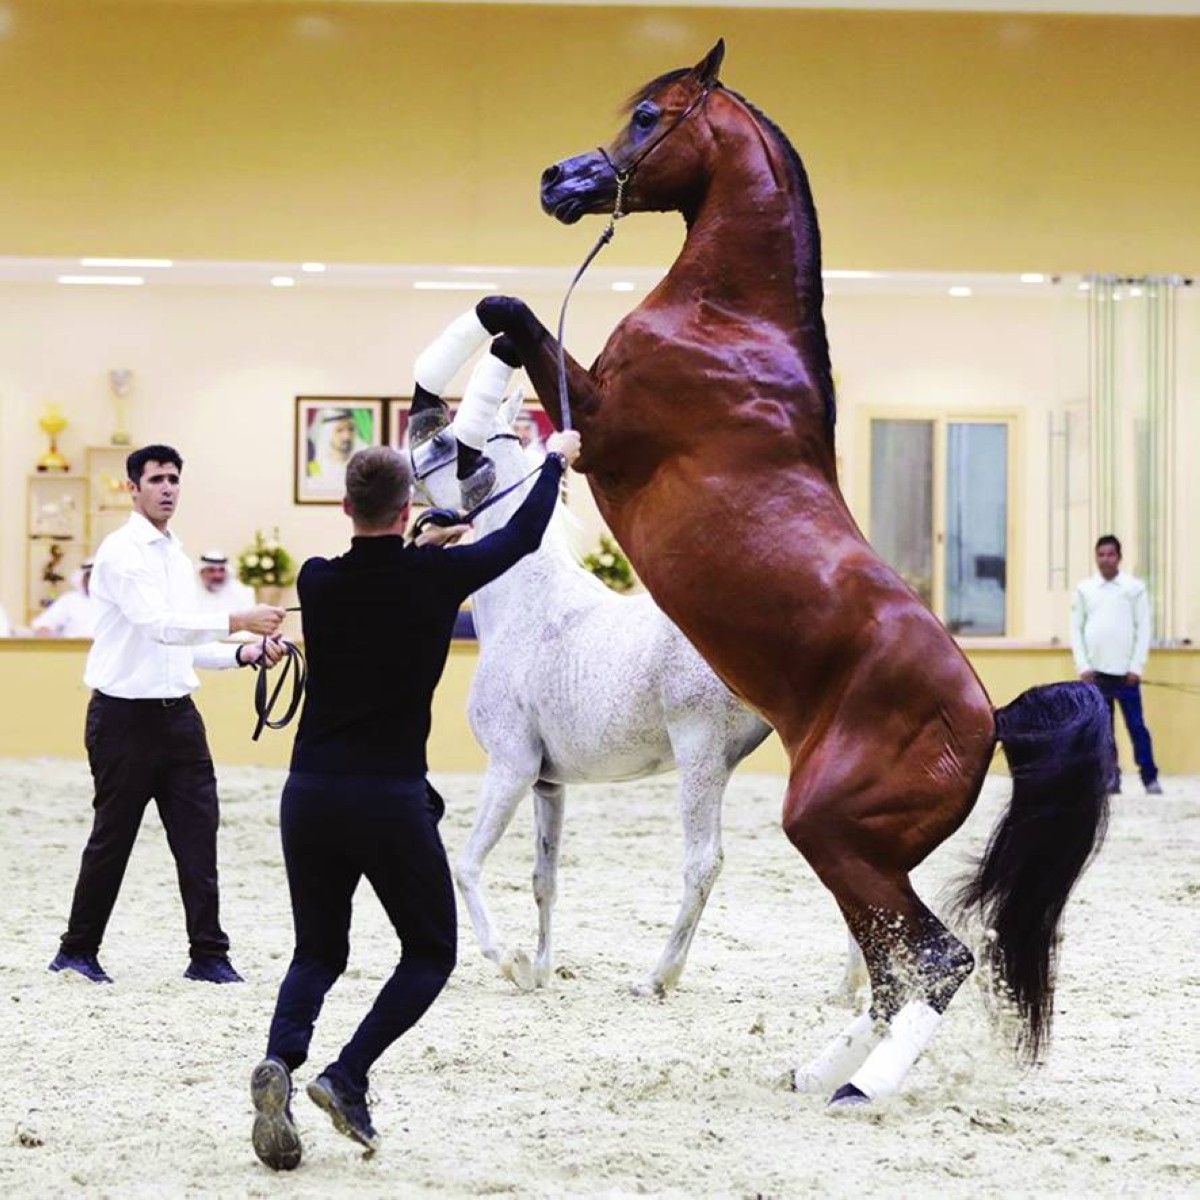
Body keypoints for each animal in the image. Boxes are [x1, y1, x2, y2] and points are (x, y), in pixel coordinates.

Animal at [410, 333, 768, 998]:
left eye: (450, 445)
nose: (407, 458)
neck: (530, 601)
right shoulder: (547, 784)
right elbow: (543, 878)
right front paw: (543, 968)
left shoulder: (511, 767)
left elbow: (466, 865)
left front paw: (509, 960)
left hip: (701, 760)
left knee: (702, 862)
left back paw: (658, 977)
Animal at [446, 39, 1108, 1104]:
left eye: (648, 117)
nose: (557, 181)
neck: (731, 327)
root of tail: (990, 717)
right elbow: (512, 331)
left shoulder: (603, 422)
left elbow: (513, 317)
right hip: (858, 850)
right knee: (892, 961)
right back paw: (822, 1067)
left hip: (833, 830)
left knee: (936, 958)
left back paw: (860, 1087)